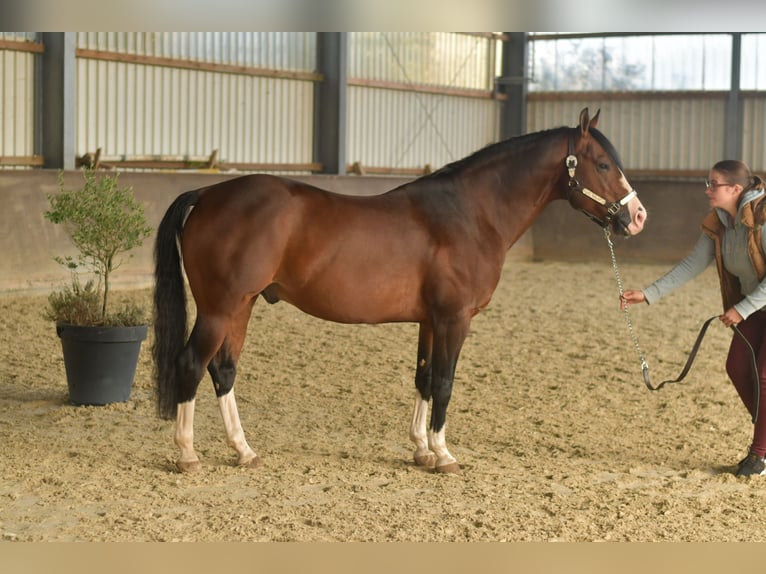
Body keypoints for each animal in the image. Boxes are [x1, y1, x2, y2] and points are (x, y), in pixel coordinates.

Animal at [152, 107, 647, 474]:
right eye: (603, 164)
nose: (637, 217)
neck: (470, 214)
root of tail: (207, 194)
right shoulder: (454, 319)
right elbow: (445, 382)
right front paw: (443, 455)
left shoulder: (429, 320)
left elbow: (424, 378)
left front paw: (421, 450)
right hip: (220, 309)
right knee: (192, 363)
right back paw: (188, 454)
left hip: (242, 306)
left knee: (223, 370)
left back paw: (243, 451)